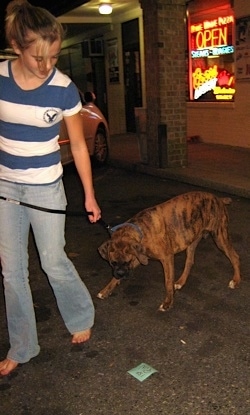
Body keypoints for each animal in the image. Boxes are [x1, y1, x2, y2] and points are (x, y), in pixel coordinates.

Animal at [97, 192, 240, 312]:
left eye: (127, 261)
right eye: (113, 263)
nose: (120, 274)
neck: (141, 230)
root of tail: (218, 199)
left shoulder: (166, 258)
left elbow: (167, 282)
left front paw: (168, 302)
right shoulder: (140, 256)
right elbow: (113, 279)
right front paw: (106, 290)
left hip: (220, 238)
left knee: (235, 257)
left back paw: (236, 280)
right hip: (191, 241)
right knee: (189, 262)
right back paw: (181, 282)